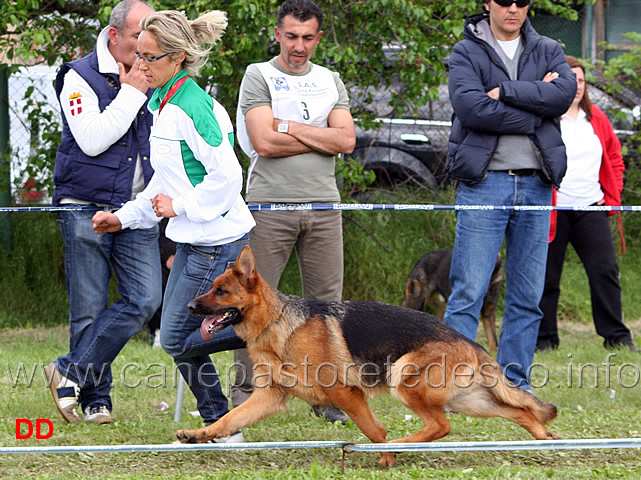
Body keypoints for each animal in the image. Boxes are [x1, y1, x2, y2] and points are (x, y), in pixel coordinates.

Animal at [174, 248, 556, 464]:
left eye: (220, 291)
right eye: (210, 288)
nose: (189, 306)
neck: (278, 322)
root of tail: (470, 342)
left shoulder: (347, 394)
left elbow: (373, 430)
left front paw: (386, 457)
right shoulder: (269, 398)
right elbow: (227, 420)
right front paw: (197, 435)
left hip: (406, 378)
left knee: (440, 425)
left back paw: (402, 445)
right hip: (470, 401)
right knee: (518, 412)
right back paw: (547, 439)